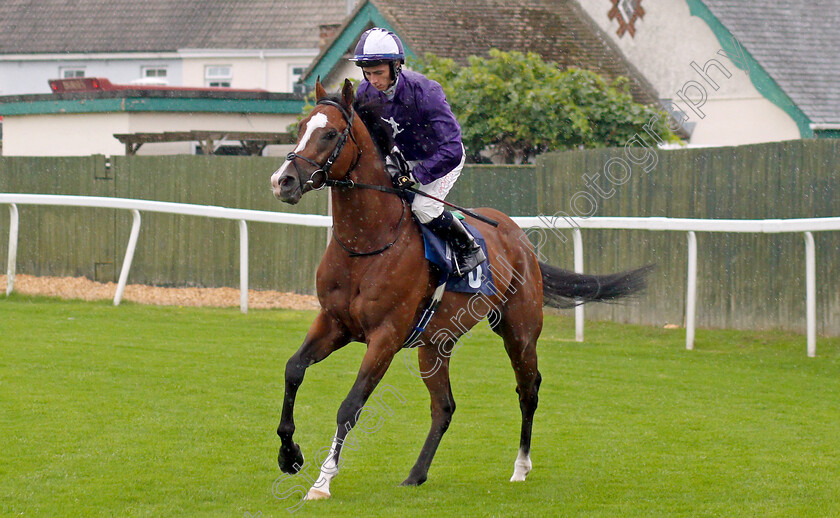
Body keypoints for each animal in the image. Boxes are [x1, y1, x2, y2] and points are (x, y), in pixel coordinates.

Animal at [270, 79, 648, 502]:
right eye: (301, 127)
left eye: (331, 134)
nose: (283, 181)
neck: (366, 245)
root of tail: (518, 236)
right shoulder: (334, 323)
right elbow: (293, 370)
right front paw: (290, 455)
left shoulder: (385, 336)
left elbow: (350, 405)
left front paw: (322, 482)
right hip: (436, 344)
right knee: (444, 407)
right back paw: (416, 474)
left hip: (518, 331)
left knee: (528, 389)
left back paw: (521, 467)